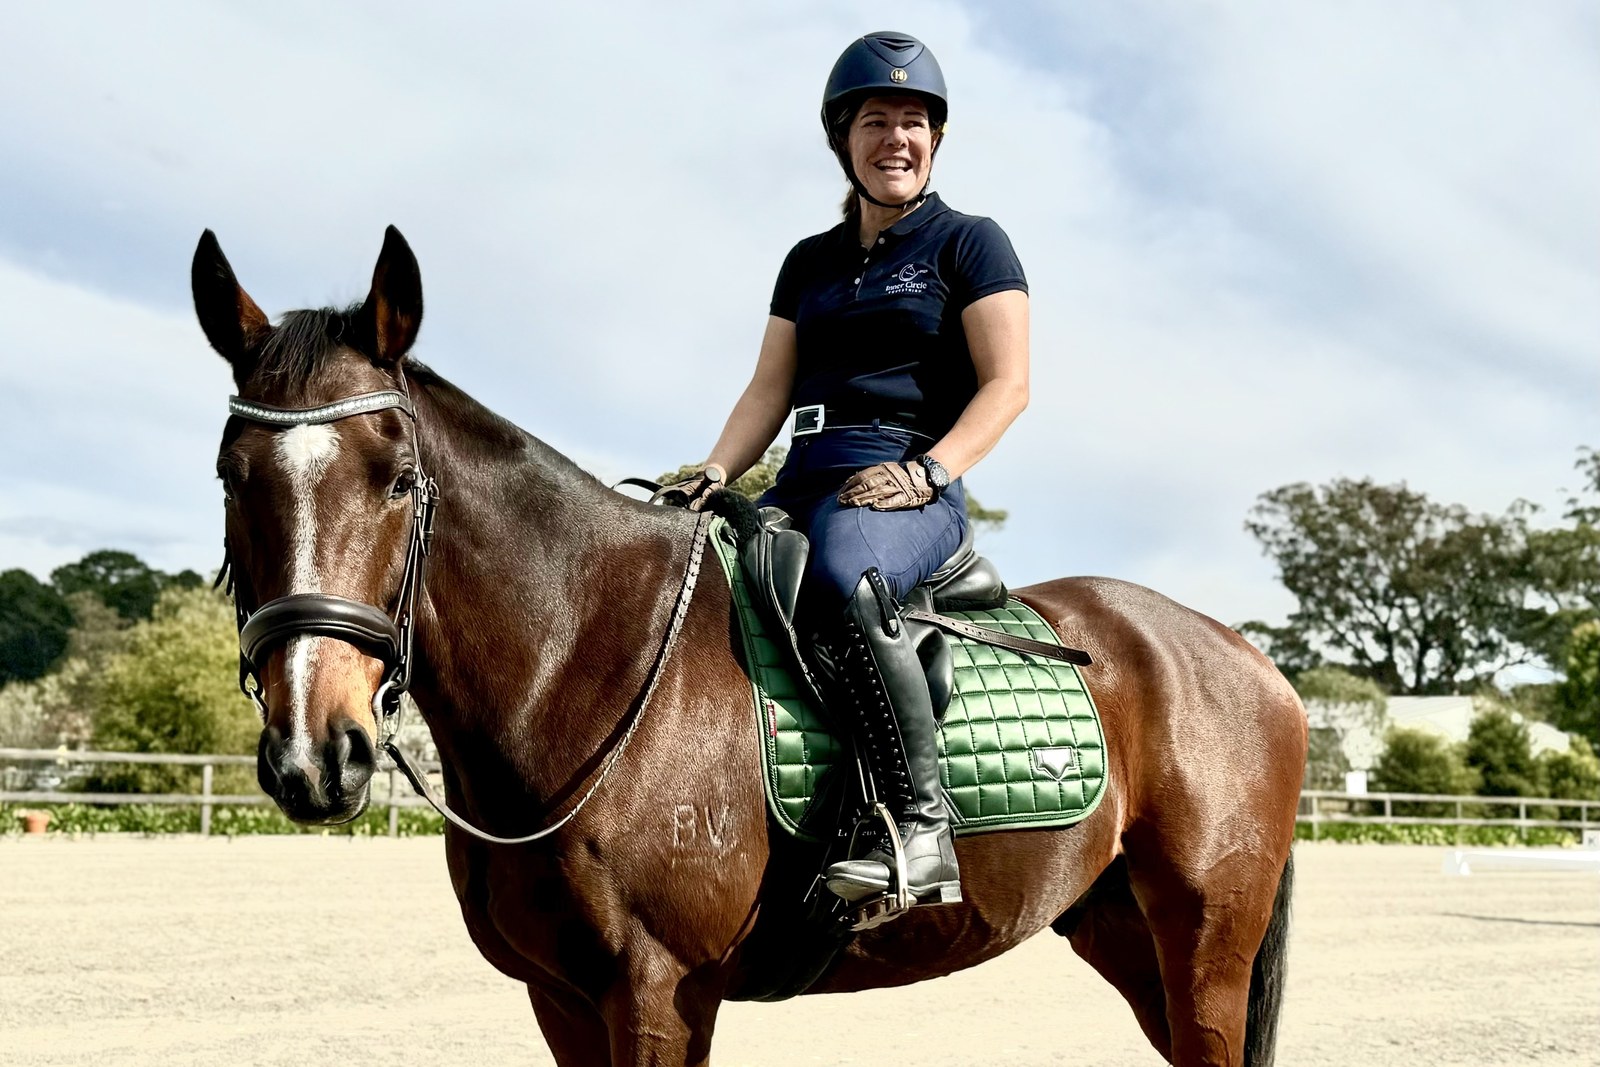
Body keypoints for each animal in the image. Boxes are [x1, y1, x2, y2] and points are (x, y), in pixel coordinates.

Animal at [192, 225, 1308, 1067]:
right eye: (231, 474)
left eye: (394, 476)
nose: (315, 750)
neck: (578, 663)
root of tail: (1247, 659)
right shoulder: (561, 999)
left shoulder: (657, 992)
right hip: (1125, 935)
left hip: (1204, 944)